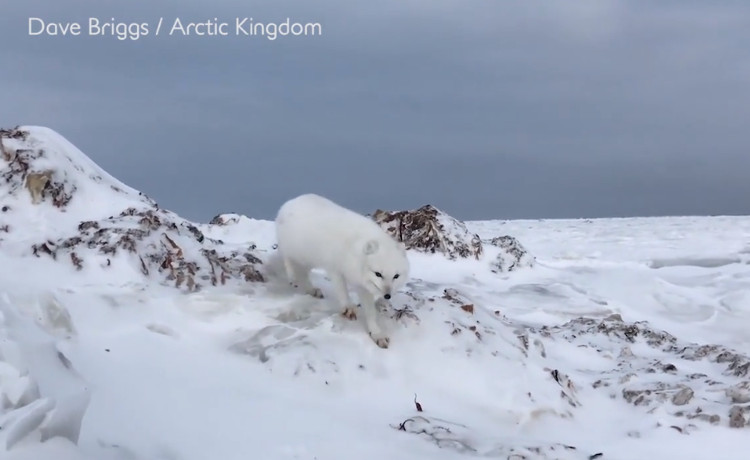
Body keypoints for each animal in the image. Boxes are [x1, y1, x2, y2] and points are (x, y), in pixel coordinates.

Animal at [274, 192, 408, 346]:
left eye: (396, 276)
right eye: (378, 274)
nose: (387, 295)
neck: (354, 250)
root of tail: (291, 201)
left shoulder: (362, 284)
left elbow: (370, 312)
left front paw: (377, 334)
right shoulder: (335, 269)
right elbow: (342, 291)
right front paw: (348, 308)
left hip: (308, 258)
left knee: (304, 273)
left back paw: (312, 289)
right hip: (292, 249)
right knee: (287, 258)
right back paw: (292, 277)